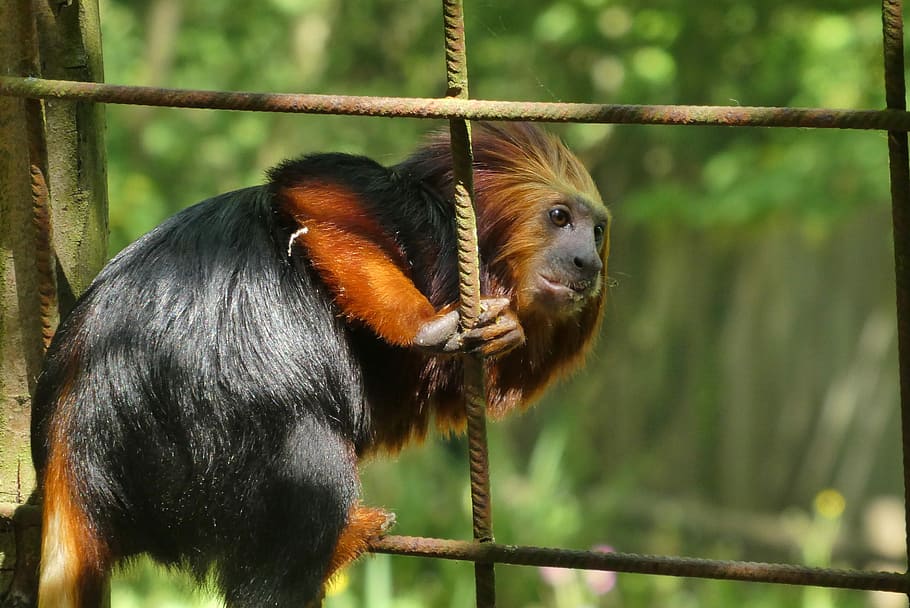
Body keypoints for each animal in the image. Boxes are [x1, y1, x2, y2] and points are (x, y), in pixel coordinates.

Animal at [29, 121, 610, 608]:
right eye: (560, 218)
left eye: (597, 232)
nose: (588, 261)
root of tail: (72, 441)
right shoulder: (411, 211)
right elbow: (312, 194)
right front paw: (422, 324)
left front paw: (507, 330)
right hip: (181, 438)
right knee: (306, 453)